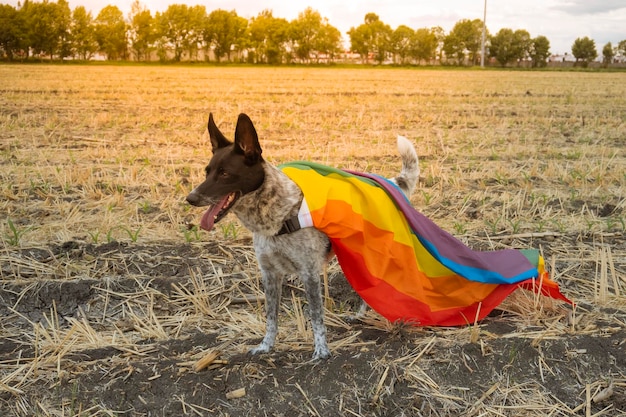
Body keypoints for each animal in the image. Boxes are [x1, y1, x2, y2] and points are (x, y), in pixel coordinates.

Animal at [186, 113, 420, 358]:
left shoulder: (309, 273)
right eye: (207, 171)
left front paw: (321, 352)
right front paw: (266, 346)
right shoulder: (269, 273)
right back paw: (360, 315)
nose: (190, 198)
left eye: (224, 173)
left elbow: (316, 316)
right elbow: (271, 316)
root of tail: (392, 183)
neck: (279, 215)